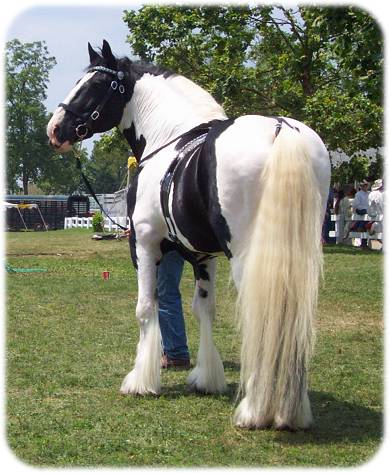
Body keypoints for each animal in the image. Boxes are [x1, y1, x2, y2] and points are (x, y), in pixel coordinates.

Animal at [47, 41, 330, 432]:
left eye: (92, 86)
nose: (55, 129)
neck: (170, 139)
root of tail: (280, 128)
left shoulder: (145, 244)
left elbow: (146, 307)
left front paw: (141, 380)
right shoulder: (204, 257)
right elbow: (204, 310)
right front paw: (206, 378)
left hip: (247, 258)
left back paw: (255, 410)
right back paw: (291, 409)